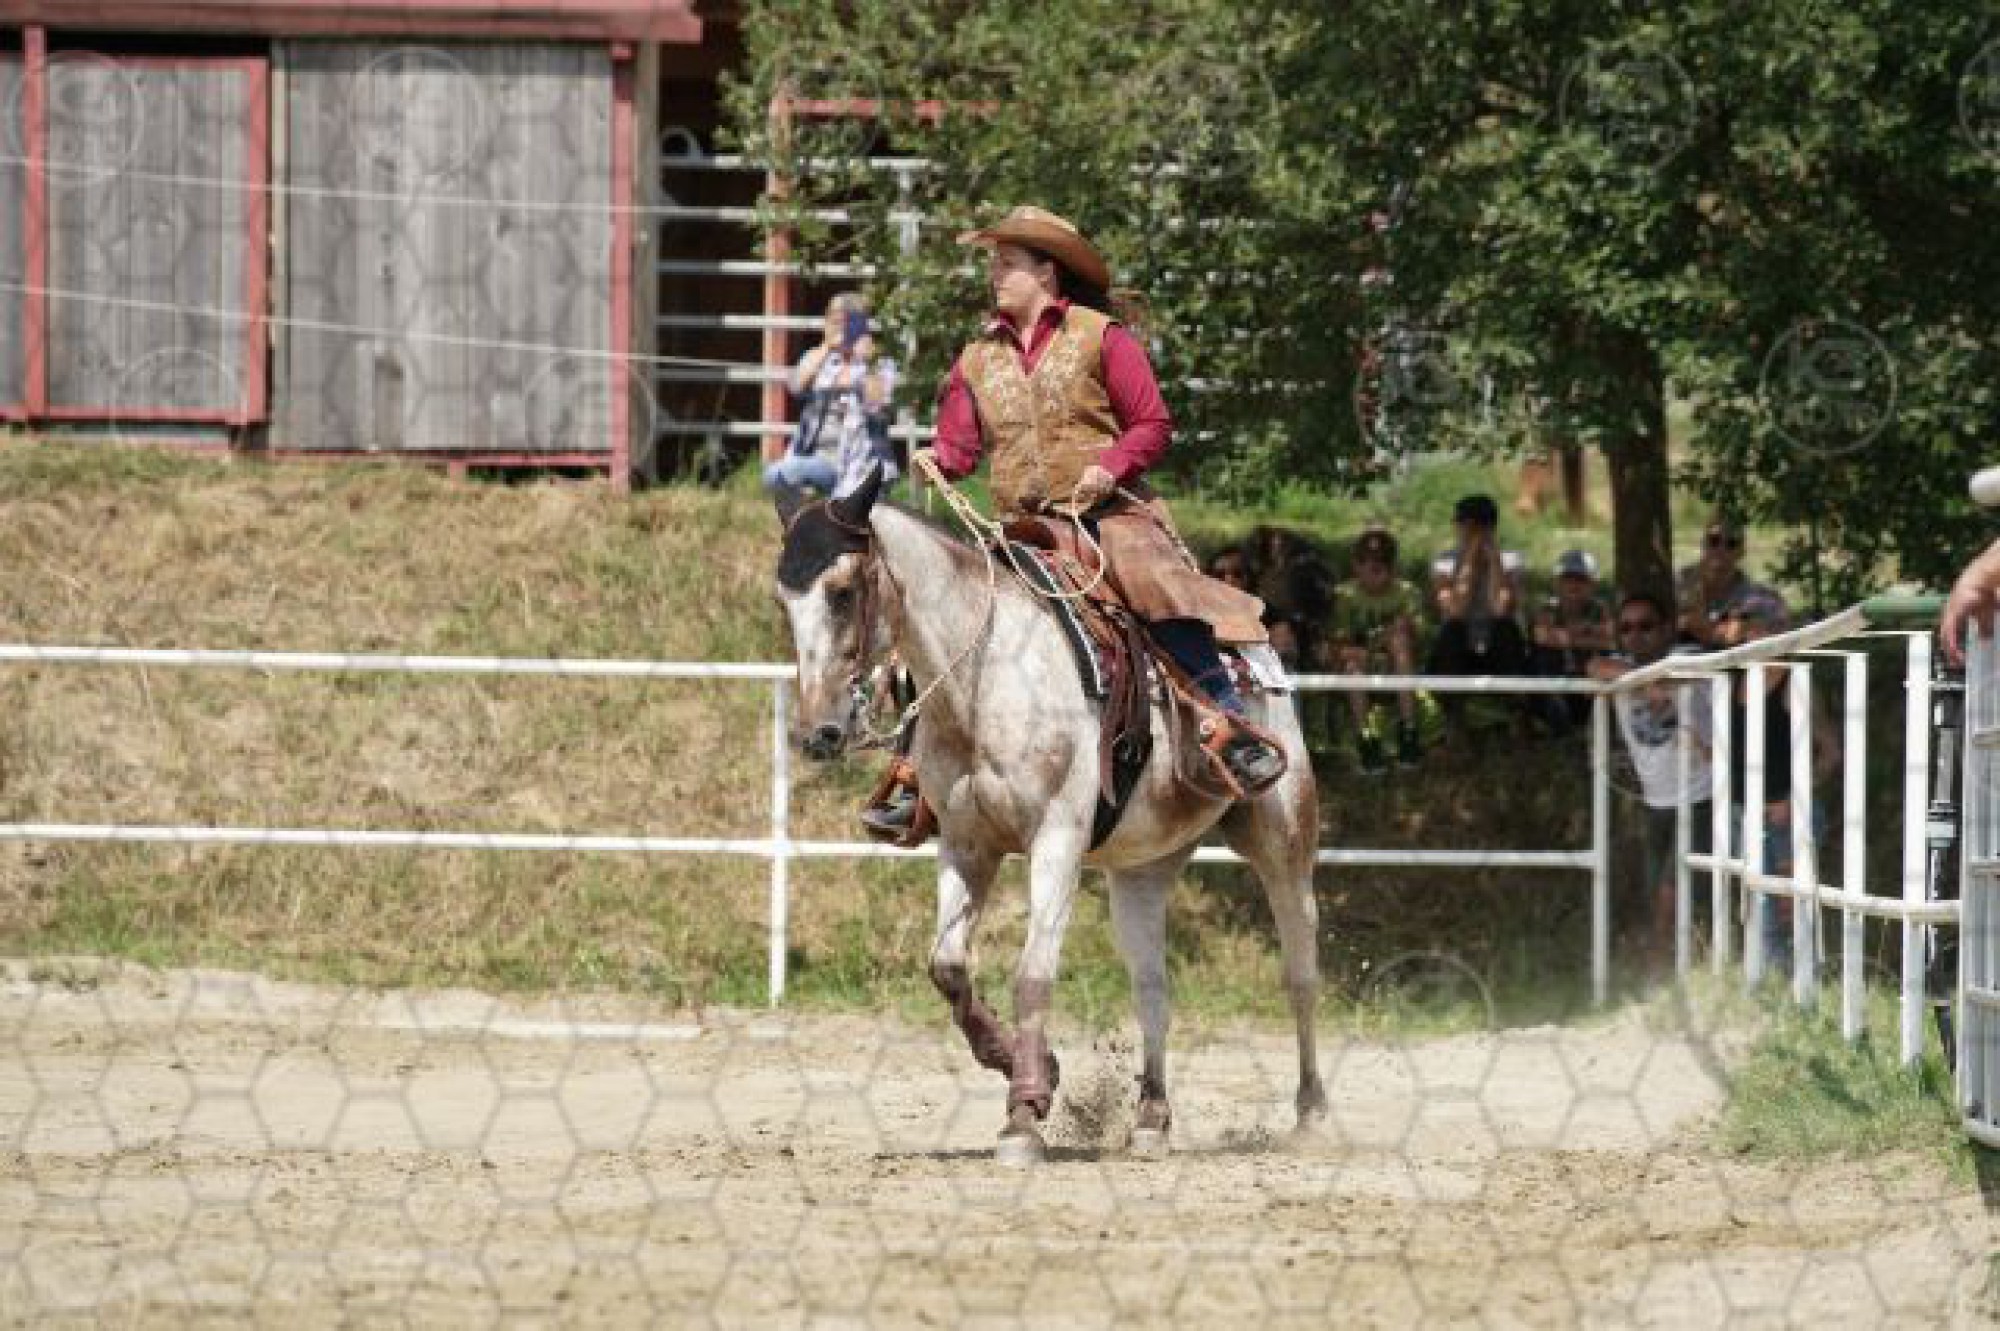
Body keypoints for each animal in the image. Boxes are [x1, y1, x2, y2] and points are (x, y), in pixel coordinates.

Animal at [773, 466, 1327, 1165]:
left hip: (1283, 838)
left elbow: (1033, 974)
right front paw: (1024, 1066)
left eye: (843, 591)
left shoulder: (1057, 840)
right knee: (1153, 987)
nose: (817, 732)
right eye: (781, 601)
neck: (984, 679)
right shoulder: (966, 845)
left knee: (1300, 971)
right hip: (1142, 869)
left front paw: (1024, 1115)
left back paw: (1311, 1115)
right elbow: (947, 966)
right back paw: (1151, 1118)